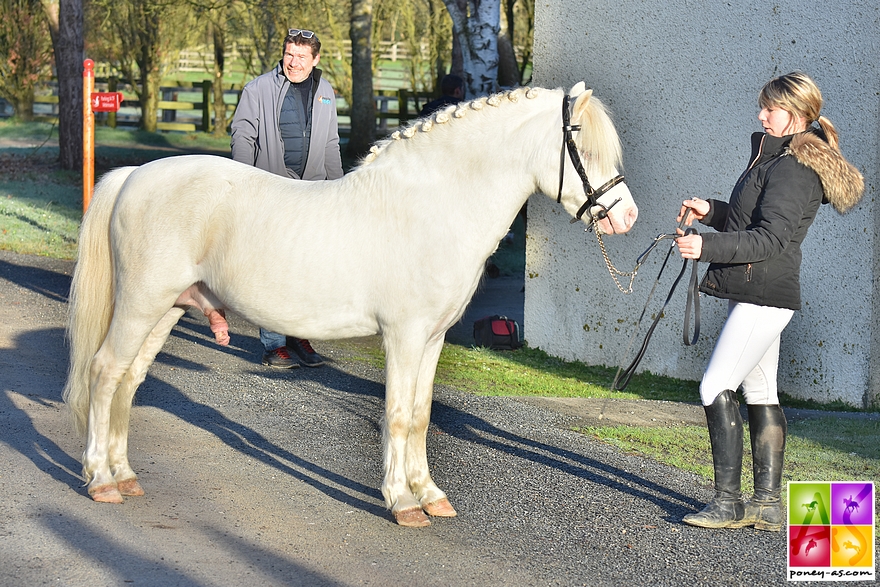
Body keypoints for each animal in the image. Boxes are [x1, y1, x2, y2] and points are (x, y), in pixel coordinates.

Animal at [65, 82, 636, 528]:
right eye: (582, 145)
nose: (625, 216)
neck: (434, 204)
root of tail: (134, 175)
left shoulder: (432, 339)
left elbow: (422, 415)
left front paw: (431, 496)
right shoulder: (404, 336)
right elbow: (399, 416)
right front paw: (402, 502)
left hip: (166, 310)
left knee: (129, 380)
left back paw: (125, 475)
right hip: (141, 305)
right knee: (104, 371)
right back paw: (101, 480)